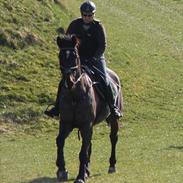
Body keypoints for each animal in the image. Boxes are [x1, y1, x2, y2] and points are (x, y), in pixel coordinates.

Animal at [55, 35, 123, 183]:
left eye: (75, 55)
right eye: (60, 55)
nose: (69, 80)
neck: (74, 94)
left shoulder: (86, 125)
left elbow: (83, 152)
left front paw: (80, 176)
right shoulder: (66, 123)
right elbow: (60, 141)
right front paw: (62, 169)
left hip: (113, 119)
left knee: (113, 138)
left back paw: (112, 165)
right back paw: (87, 170)